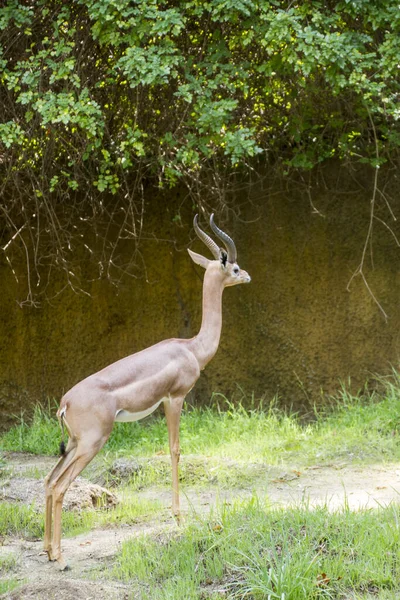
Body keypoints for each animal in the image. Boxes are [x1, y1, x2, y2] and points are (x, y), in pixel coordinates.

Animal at [43, 213, 250, 568]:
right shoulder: (175, 399)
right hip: (92, 443)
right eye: (233, 267)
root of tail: (65, 403)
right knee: (60, 487)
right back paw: (60, 557)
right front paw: (179, 517)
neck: (192, 348)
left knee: (48, 480)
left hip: (73, 444)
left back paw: (46, 550)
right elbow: (175, 450)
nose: (248, 276)